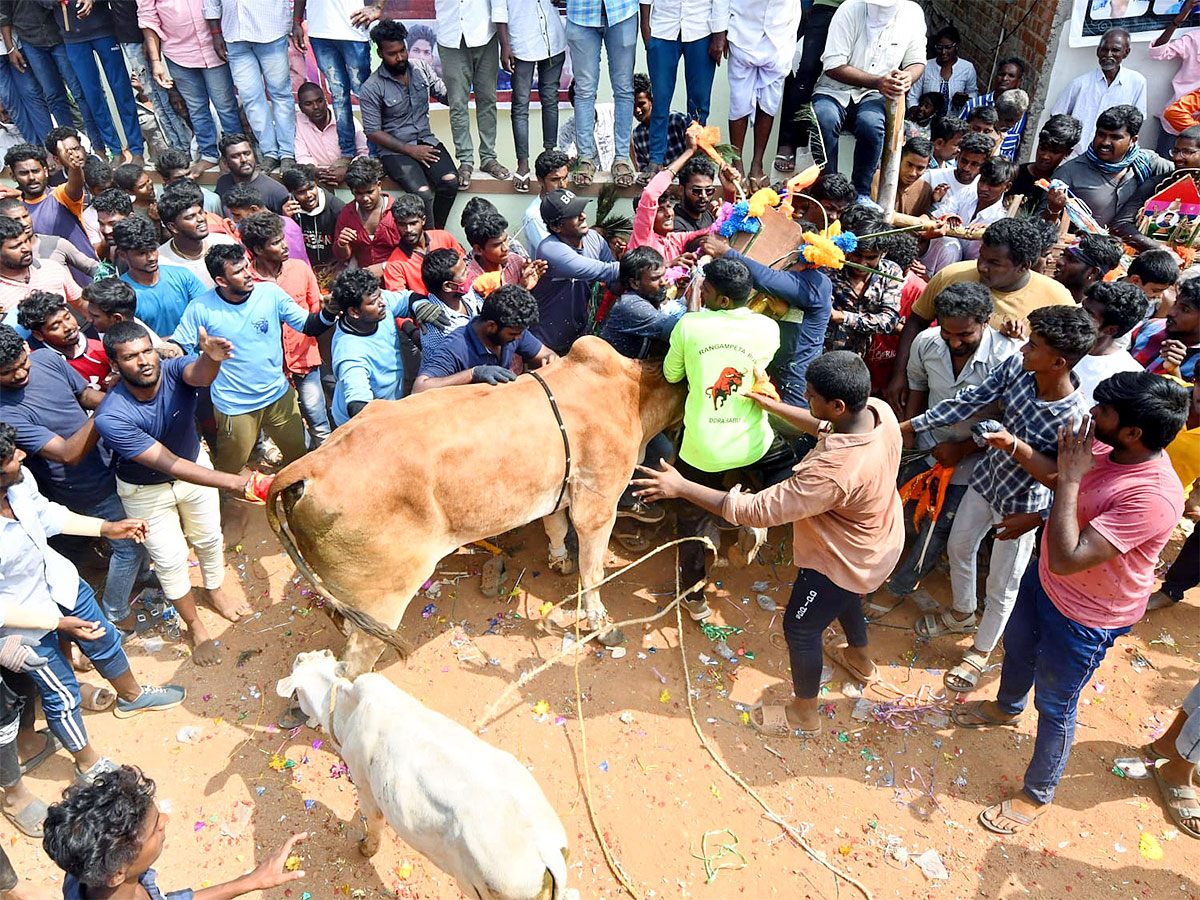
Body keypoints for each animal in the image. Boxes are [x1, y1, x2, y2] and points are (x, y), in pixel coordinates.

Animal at [270, 338, 686, 676]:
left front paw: (558, 560)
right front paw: (602, 625)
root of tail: (308, 467)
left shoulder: (560, 490)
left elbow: (555, 528)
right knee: (352, 664)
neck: (633, 392)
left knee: (337, 619)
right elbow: (594, 573)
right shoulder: (598, 504)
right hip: (382, 598)